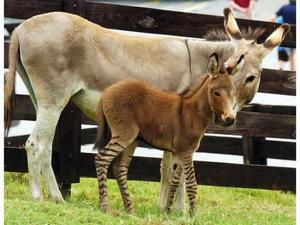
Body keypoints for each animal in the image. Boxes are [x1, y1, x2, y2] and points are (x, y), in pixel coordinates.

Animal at [94, 53, 244, 214]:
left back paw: (130, 210)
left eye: (234, 93)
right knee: (102, 159)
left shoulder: (179, 153)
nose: (230, 119)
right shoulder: (187, 152)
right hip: (124, 134)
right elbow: (192, 184)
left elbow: (174, 181)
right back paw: (105, 207)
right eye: (216, 93)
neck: (193, 112)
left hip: (132, 139)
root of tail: (107, 91)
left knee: (119, 168)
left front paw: (167, 211)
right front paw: (193, 214)